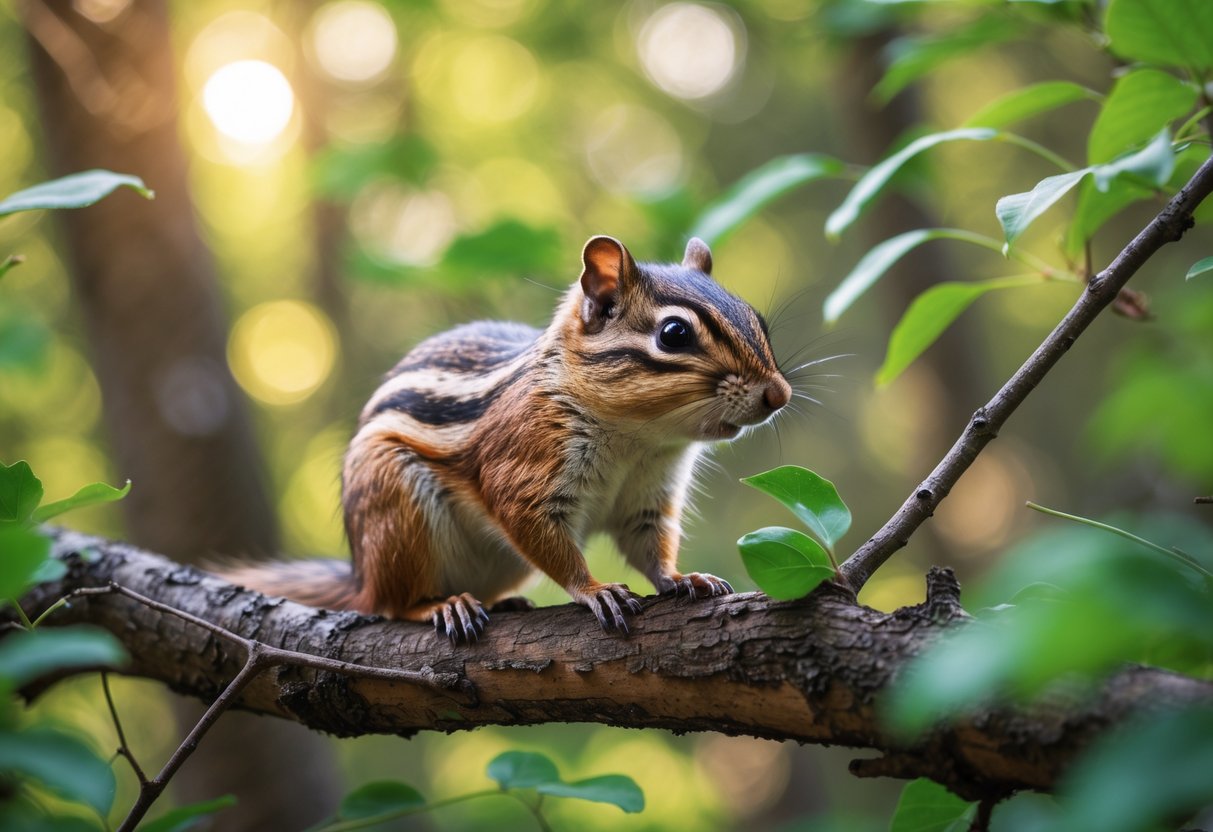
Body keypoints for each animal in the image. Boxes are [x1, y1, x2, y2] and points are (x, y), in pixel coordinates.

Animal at [221, 235, 791, 642]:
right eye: (674, 334)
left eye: (758, 320)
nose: (778, 394)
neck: (637, 438)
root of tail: (361, 576)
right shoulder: (525, 468)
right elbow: (541, 534)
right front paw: (595, 589)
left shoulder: (648, 497)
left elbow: (651, 547)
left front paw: (681, 579)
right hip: (396, 511)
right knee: (393, 604)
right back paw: (442, 604)